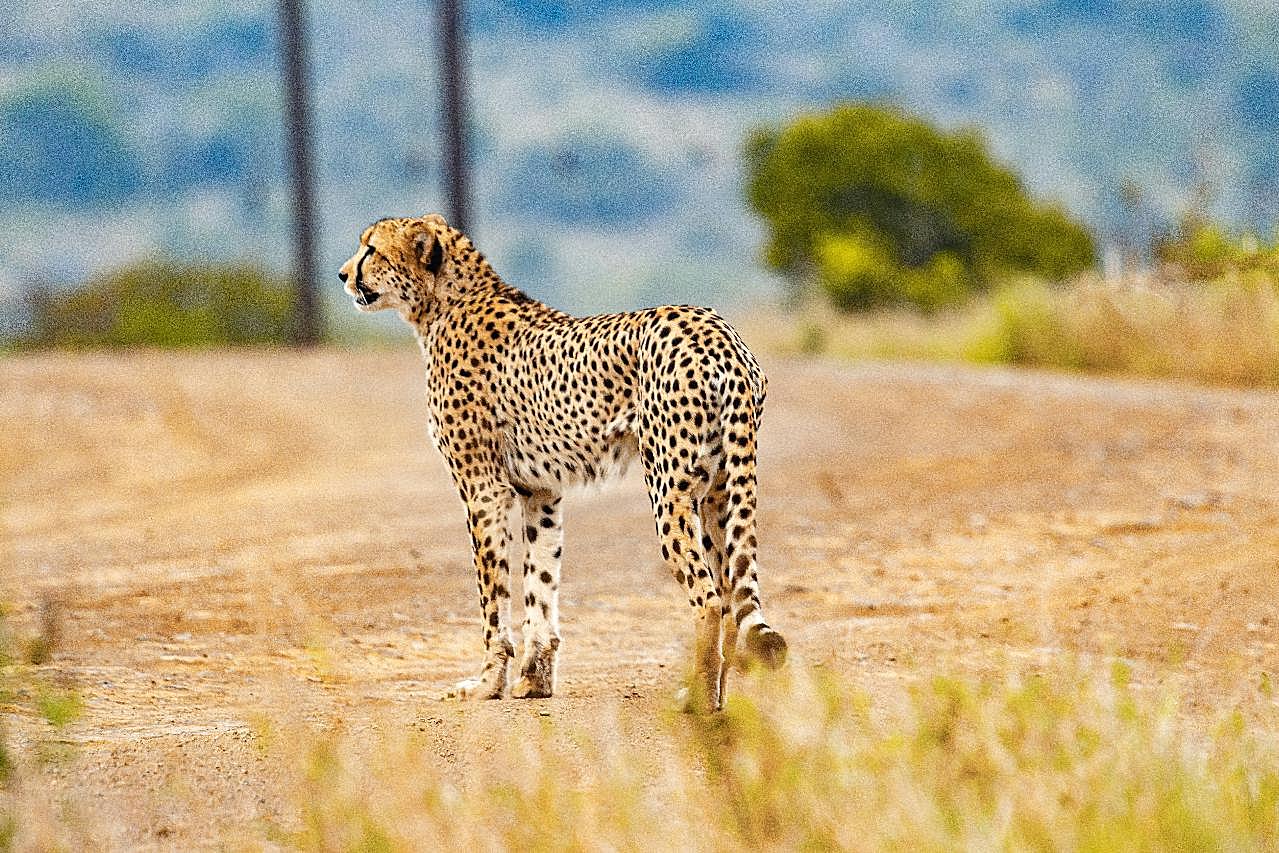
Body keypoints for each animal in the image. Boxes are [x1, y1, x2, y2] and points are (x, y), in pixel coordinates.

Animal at [335, 214, 782, 716]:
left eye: (371, 249)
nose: (342, 274)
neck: (442, 303)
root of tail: (720, 333)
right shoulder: (541, 492)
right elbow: (540, 585)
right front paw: (535, 681)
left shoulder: (483, 488)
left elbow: (493, 598)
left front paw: (488, 683)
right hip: (719, 492)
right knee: (730, 591)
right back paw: (724, 698)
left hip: (670, 491)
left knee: (708, 598)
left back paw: (700, 700)